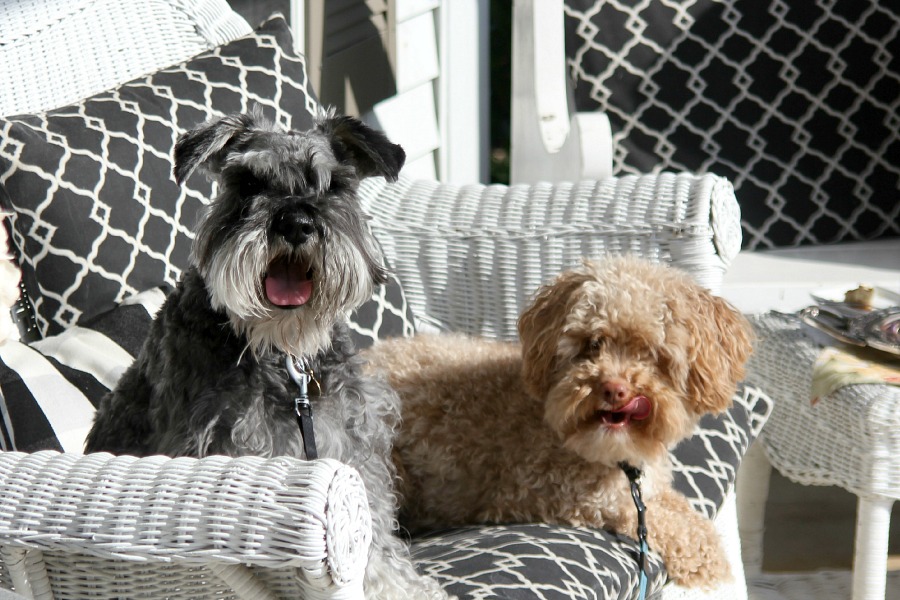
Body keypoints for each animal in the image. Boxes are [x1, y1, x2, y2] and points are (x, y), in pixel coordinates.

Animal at [83, 110, 446, 596]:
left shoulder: (350, 453)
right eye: (248, 182)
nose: (296, 224)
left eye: (335, 185)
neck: (286, 353)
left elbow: (375, 544)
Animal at [364, 255, 752, 588]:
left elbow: (675, 506)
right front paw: (710, 560)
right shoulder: (555, 492)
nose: (614, 389)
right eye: (593, 344)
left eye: (651, 354)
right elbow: (655, 518)